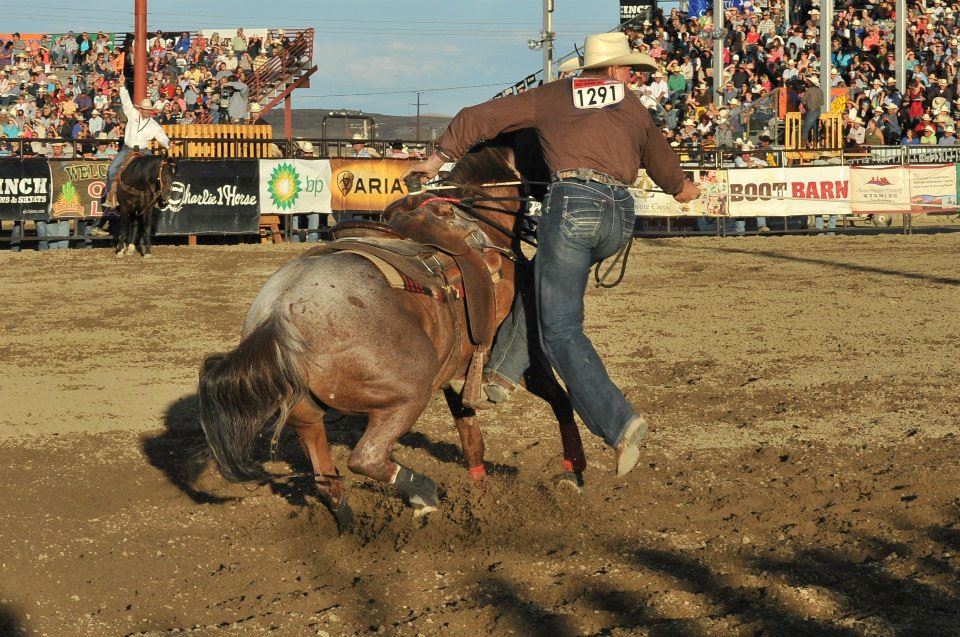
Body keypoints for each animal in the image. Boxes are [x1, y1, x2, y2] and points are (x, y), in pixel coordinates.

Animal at [199, 132, 584, 536]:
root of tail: (279, 314)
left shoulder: (457, 371)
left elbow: (471, 438)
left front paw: (480, 496)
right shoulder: (522, 356)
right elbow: (560, 401)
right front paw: (574, 472)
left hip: (306, 414)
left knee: (327, 480)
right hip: (407, 393)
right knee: (365, 458)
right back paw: (423, 493)